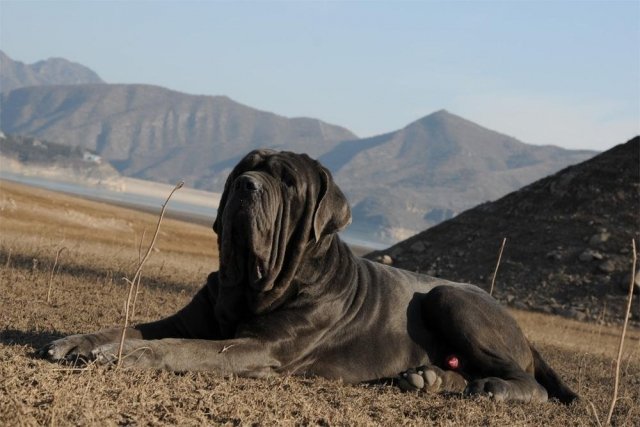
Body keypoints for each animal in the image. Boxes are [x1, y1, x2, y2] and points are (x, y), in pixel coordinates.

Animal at [38, 150, 580, 404]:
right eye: (245, 167)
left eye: (288, 182)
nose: (246, 185)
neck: (254, 284)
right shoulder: (192, 318)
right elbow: (133, 325)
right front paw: (77, 341)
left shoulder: (259, 347)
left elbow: (182, 348)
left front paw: (128, 356)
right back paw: (426, 378)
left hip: (450, 296)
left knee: (528, 383)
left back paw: (493, 389)